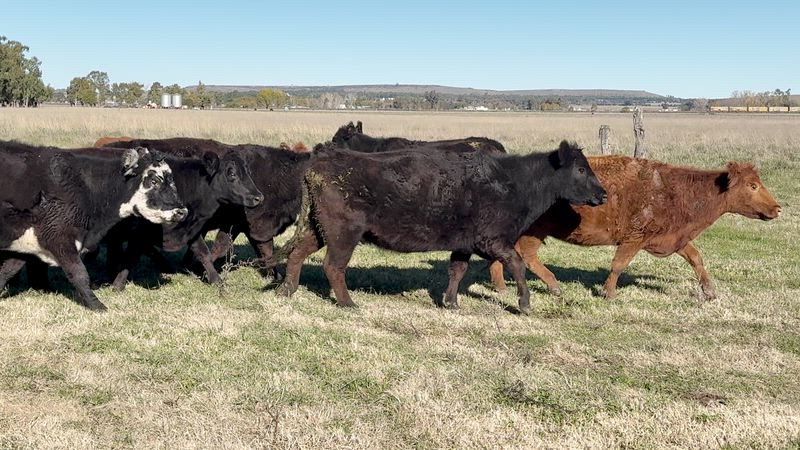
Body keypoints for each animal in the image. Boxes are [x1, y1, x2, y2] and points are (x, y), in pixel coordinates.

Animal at [0, 141, 187, 310]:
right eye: (154, 180)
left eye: (172, 180)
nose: (181, 211)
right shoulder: (60, 239)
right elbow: (79, 273)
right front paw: (96, 305)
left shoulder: (28, 243)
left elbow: (7, 270)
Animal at [102, 151, 264, 291]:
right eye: (232, 173)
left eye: (248, 172)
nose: (258, 197)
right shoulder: (140, 233)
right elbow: (131, 256)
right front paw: (117, 285)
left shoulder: (191, 228)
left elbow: (203, 253)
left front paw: (217, 282)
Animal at [275, 141, 607, 313]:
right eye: (580, 169)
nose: (603, 194)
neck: (514, 182)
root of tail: (318, 165)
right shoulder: (493, 240)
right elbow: (518, 264)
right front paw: (524, 304)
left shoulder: (464, 244)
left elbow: (457, 270)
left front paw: (451, 302)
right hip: (344, 233)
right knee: (333, 266)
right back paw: (348, 303)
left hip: (318, 229)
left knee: (298, 253)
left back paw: (286, 291)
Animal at [488, 155, 782, 300]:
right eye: (753, 186)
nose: (778, 208)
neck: (672, 191)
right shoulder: (634, 238)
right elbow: (619, 264)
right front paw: (608, 293)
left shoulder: (674, 237)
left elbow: (696, 258)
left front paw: (709, 292)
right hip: (535, 231)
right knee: (526, 255)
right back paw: (554, 286)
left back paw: (501, 286)